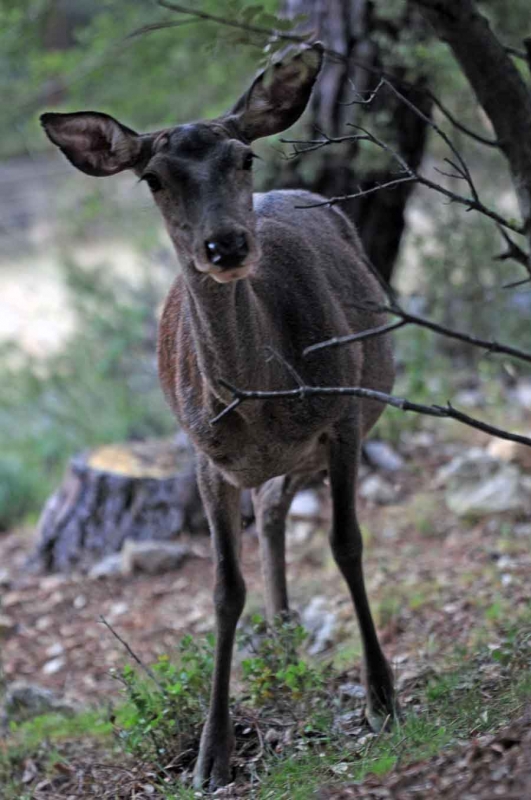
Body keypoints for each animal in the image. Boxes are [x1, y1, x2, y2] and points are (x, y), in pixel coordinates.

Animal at [43, 45, 396, 792]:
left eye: (244, 157)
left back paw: (293, 637)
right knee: (271, 508)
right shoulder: (204, 459)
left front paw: (382, 696)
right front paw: (211, 756)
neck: (261, 404)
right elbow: (222, 590)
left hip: (344, 425)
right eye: (153, 177)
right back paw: (281, 637)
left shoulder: (343, 417)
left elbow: (347, 544)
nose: (225, 246)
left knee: (282, 508)